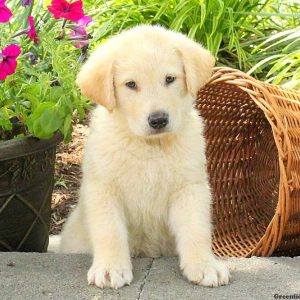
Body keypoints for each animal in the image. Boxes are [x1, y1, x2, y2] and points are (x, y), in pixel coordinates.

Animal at [60, 25, 230, 288]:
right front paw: (110, 268)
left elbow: (196, 229)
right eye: (131, 84)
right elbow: (109, 231)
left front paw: (204, 265)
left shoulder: (189, 188)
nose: (158, 120)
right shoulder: (103, 188)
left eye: (169, 79)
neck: (150, 147)